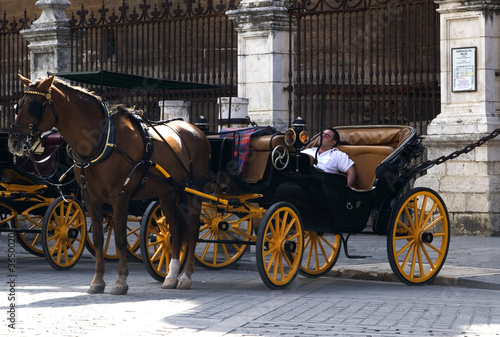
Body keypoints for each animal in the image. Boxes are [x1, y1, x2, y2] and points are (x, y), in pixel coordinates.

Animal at [8, 74, 211, 294]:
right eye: (18, 106)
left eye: (34, 106)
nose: (14, 142)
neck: (101, 140)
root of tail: (195, 129)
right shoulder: (91, 198)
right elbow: (98, 238)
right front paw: (97, 281)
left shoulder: (119, 197)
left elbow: (120, 238)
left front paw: (121, 281)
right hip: (168, 192)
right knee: (176, 228)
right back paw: (172, 275)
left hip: (193, 190)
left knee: (192, 228)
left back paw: (186, 276)